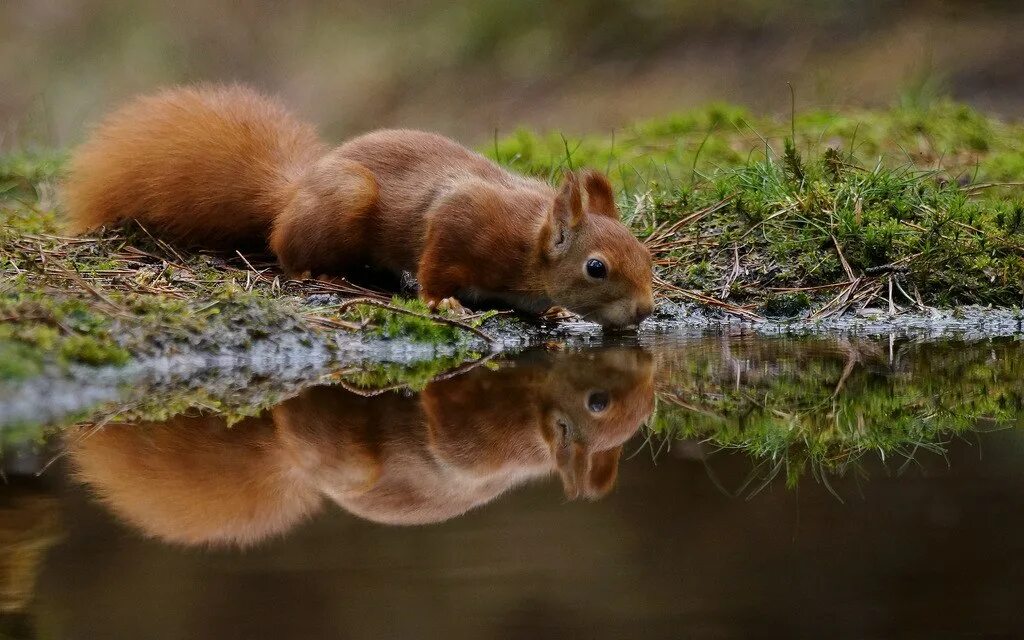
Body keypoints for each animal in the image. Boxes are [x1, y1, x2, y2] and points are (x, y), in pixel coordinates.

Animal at [66, 82, 655, 327]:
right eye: (596, 268)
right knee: (287, 252)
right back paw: (322, 275)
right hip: (342, 203)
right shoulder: (461, 219)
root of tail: (295, 191)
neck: (530, 243)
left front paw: (552, 309)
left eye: (647, 257)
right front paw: (445, 303)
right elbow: (436, 265)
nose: (646, 311)